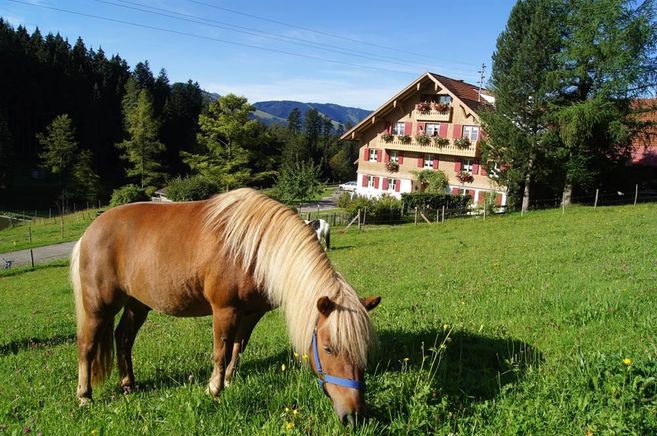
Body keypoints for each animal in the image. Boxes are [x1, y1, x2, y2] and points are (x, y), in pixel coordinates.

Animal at [71, 188, 380, 424]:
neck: (254, 249)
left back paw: (128, 384)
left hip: (138, 304)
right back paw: (84, 396)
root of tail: (89, 232)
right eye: (328, 348)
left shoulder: (251, 313)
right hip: (98, 307)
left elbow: (237, 348)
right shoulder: (224, 310)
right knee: (87, 346)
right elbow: (220, 352)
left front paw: (229, 381)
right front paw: (214, 390)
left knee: (123, 338)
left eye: (363, 348)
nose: (354, 415)